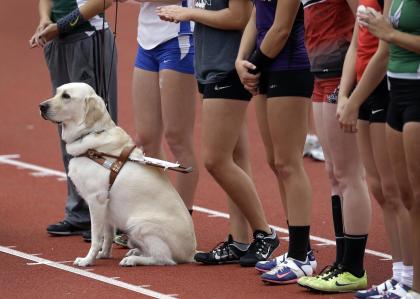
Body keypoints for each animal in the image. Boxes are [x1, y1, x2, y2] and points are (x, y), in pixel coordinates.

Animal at [39, 82, 197, 268]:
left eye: (66, 96)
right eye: (57, 92)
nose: (41, 106)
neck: (91, 136)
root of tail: (191, 253)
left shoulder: (96, 201)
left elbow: (96, 238)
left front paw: (87, 260)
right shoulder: (107, 207)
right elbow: (107, 236)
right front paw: (104, 255)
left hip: (138, 224)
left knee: (164, 259)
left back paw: (133, 259)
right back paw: (135, 251)